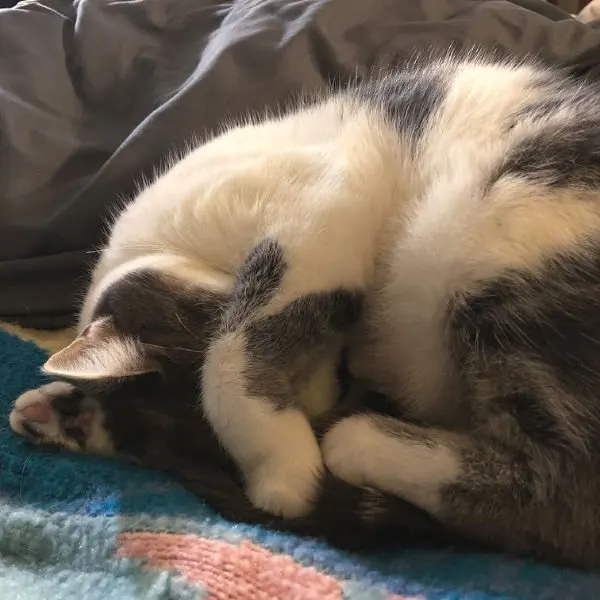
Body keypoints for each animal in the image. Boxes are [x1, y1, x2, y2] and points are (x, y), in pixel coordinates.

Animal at [9, 50, 600, 568]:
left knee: (564, 500)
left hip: (496, 238)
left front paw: (285, 474)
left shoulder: (316, 204)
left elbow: (229, 355)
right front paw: (62, 410)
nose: (337, 394)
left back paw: (356, 442)